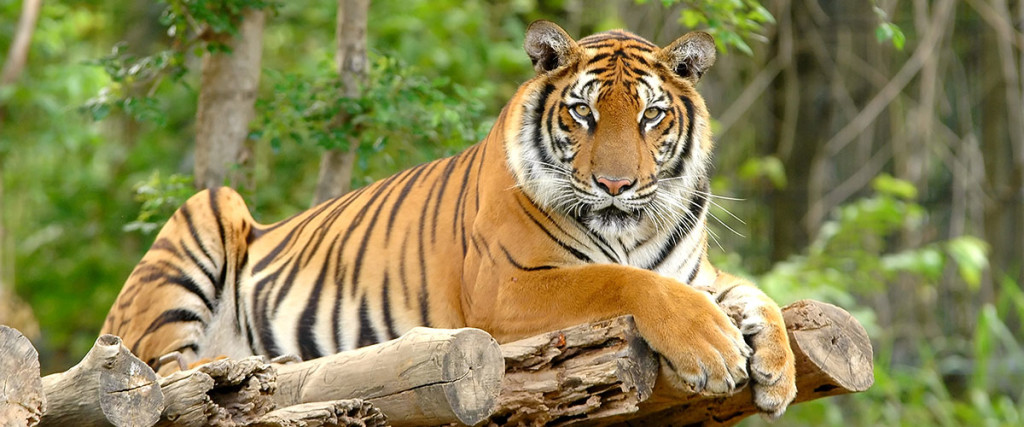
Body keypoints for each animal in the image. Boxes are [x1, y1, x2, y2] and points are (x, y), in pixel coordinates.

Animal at [99, 19, 794, 415]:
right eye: (583, 113)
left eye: (651, 115)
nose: (616, 184)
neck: (632, 229)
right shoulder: (507, 287)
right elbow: (621, 281)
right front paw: (714, 350)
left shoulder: (697, 274)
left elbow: (757, 295)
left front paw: (779, 370)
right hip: (205, 217)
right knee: (164, 369)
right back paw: (259, 368)